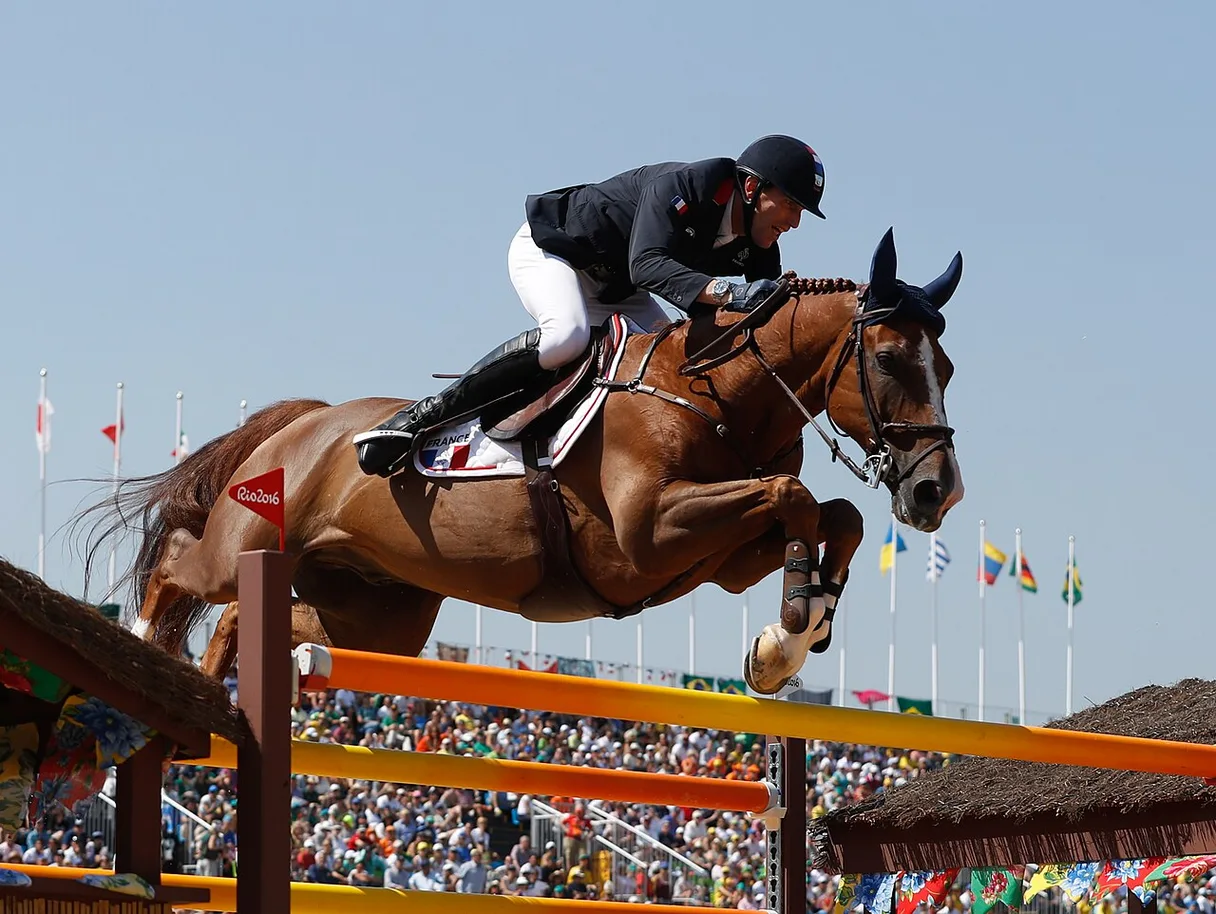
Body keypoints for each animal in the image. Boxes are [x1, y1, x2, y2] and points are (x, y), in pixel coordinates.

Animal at [84, 228, 964, 696]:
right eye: (890, 360)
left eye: (948, 368)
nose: (937, 493)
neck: (709, 392)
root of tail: (304, 424)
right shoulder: (648, 535)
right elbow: (794, 496)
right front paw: (788, 633)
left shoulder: (714, 558)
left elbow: (832, 515)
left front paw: (791, 635)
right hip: (251, 541)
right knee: (180, 564)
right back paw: (142, 640)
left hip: (379, 613)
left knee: (253, 617)